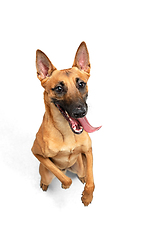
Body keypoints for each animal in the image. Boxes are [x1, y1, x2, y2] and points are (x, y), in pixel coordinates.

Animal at [31, 41, 101, 206]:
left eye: (81, 84)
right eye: (59, 88)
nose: (81, 112)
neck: (67, 133)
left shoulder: (88, 151)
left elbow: (91, 181)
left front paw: (87, 196)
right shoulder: (36, 153)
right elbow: (62, 176)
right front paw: (65, 184)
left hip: (80, 166)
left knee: (83, 173)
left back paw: (82, 177)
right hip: (45, 173)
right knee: (51, 176)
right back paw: (46, 184)